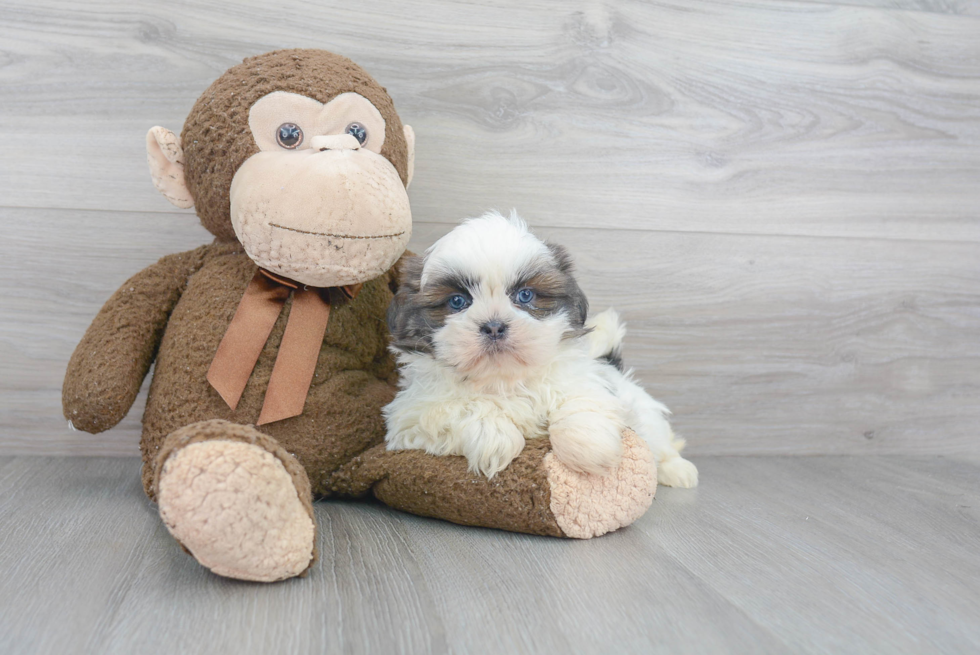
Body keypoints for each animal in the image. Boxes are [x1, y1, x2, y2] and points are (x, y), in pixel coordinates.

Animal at [382, 211, 696, 486]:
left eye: (525, 295)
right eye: (458, 301)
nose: (494, 326)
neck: (503, 378)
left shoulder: (584, 383)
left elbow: (580, 403)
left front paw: (589, 449)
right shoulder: (410, 416)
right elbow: (458, 409)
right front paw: (494, 438)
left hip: (644, 413)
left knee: (660, 441)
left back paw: (677, 471)